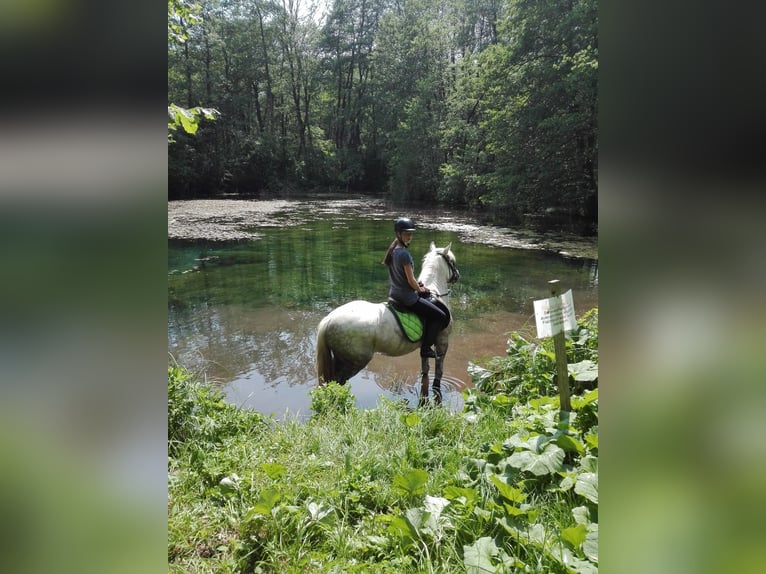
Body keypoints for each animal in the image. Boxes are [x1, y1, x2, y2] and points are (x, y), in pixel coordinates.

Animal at [316, 242, 460, 404]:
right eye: (453, 262)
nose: (457, 275)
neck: (435, 294)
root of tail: (329, 319)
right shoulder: (442, 342)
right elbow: (438, 372)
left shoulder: (426, 346)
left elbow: (425, 370)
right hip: (352, 362)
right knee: (336, 382)